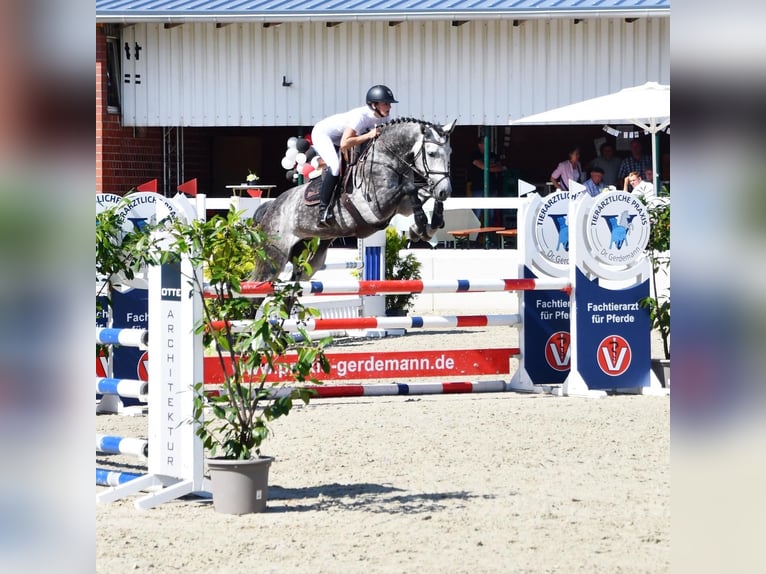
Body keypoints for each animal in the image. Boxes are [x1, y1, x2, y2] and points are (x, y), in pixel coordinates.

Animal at [252, 118, 456, 284]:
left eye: (450, 153)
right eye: (431, 153)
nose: (445, 190)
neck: (386, 158)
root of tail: (271, 207)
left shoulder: (401, 206)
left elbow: (421, 193)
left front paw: (428, 225)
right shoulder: (375, 209)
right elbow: (410, 188)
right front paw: (419, 226)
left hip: (309, 254)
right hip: (273, 256)